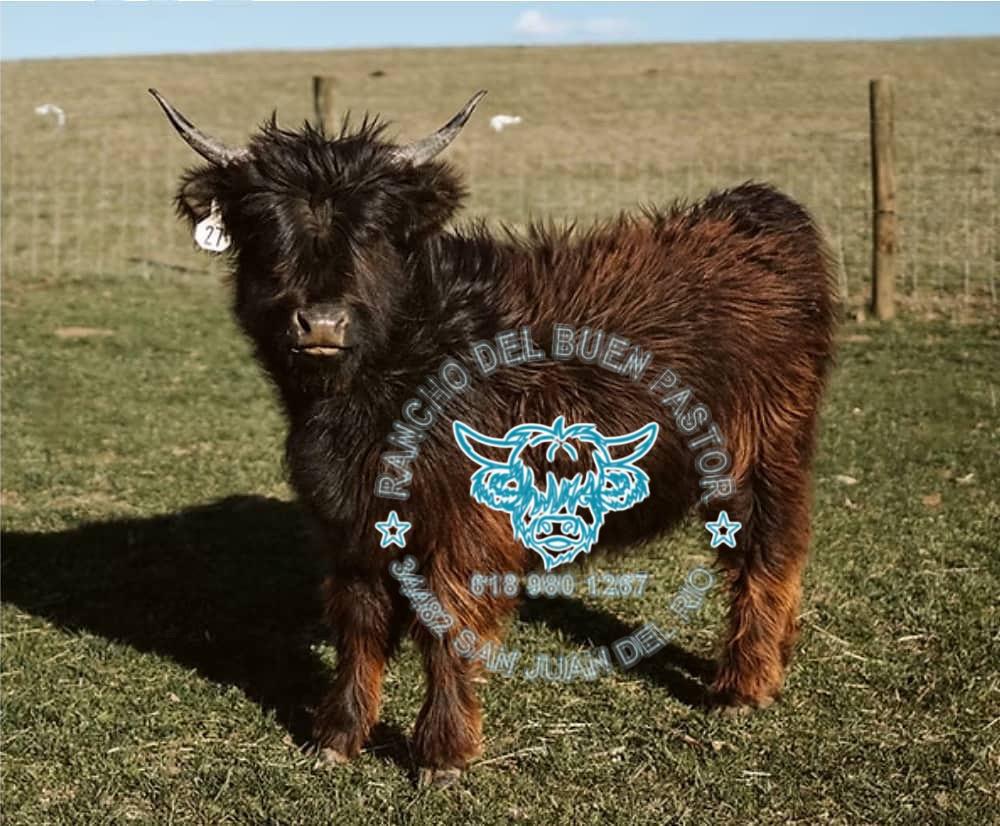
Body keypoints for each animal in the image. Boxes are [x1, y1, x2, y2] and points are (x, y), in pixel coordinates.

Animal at [152, 88, 838, 786]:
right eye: (265, 229)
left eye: (375, 232)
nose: (321, 322)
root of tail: (757, 209)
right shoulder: (348, 521)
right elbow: (359, 622)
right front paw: (339, 735)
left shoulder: (467, 526)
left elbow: (448, 624)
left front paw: (442, 755)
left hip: (764, 451)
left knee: (768, 551)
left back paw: (745, 684)